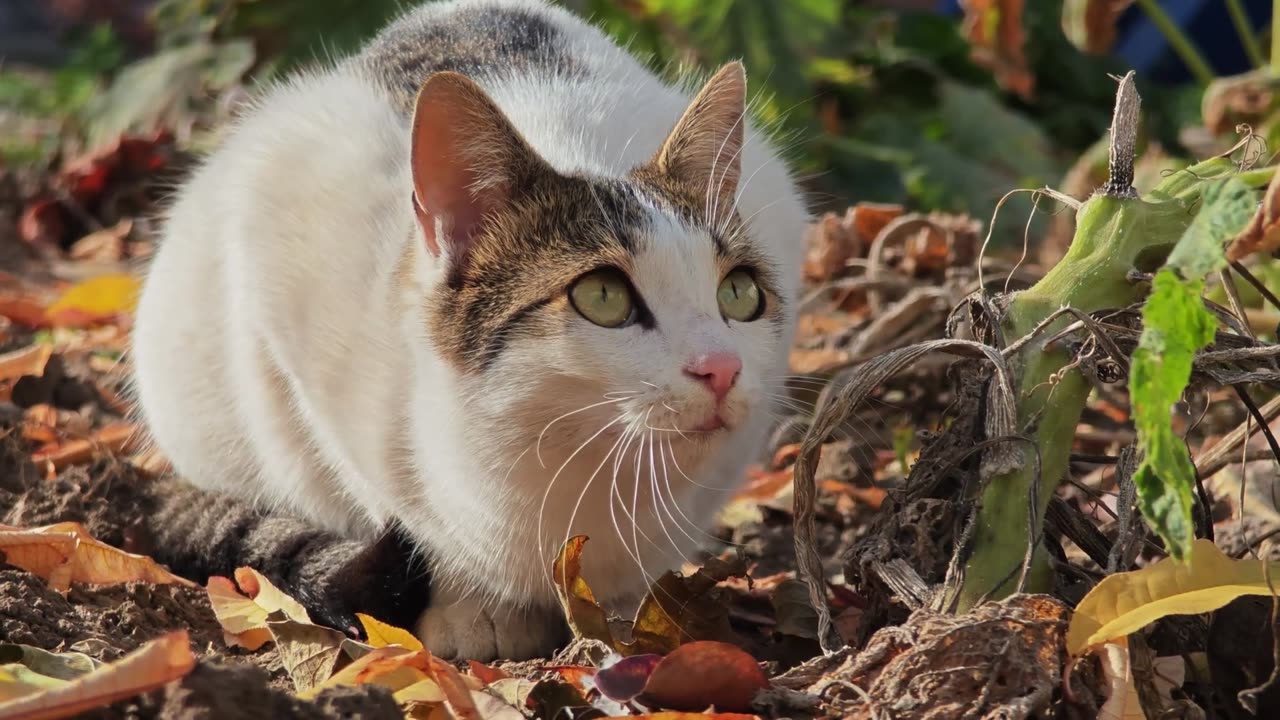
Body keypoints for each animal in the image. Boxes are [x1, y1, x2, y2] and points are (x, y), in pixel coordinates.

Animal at [132, 0, 808, 661]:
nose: (722, 366)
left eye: (739, 293)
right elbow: (381, 499)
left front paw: (635, 616)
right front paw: (475, 610)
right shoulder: (280, 293)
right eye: (604, 297)